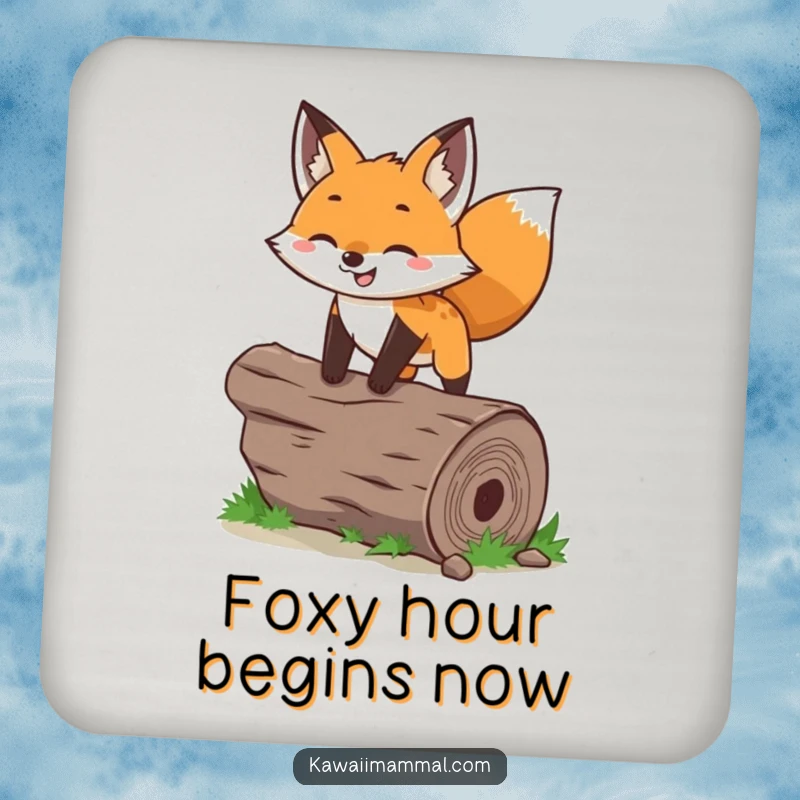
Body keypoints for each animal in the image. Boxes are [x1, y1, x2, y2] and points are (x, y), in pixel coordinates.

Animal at [267, 101, 561, 396]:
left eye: (396, 245)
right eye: (328, 238)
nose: (352, 258)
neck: (367, 304)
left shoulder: (409, 328)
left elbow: (389, 359)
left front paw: (378, 385)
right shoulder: (338, 319)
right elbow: (335, 351)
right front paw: (331, 377)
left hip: (450, 360)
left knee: (456, 383)